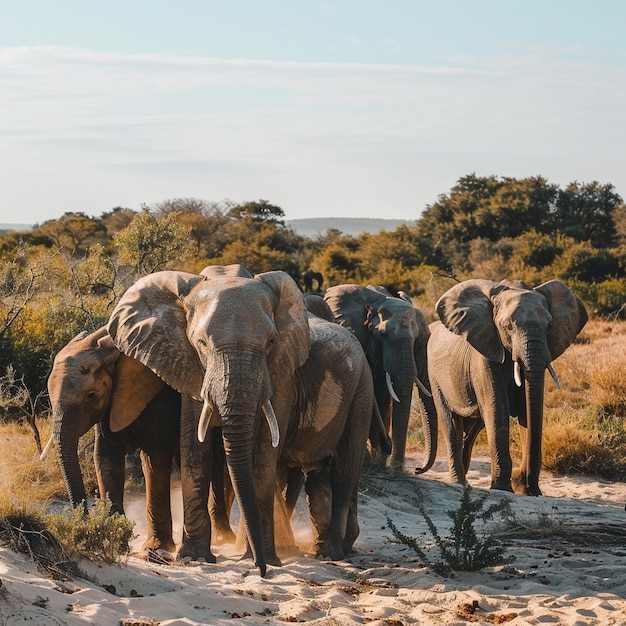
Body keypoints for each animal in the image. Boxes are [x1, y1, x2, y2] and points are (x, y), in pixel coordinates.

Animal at [45, 324, 183, 552]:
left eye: (91, 395)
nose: (83, 524)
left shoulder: (161, 395)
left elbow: (154, 457)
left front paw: (155, 549)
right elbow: (106, 456)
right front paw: (114, 540)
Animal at [322, 282, 434, 468]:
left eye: (416, 339)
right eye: (382, 335)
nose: (417, 469)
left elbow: (382, 392)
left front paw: (379, 461)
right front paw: (372, 460)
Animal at [426, 278, 588, 492]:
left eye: (550, 325)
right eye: (507, 326)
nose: (525, 483)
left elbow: (528, 411)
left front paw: (528, 491)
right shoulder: (485, 355)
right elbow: (498, 410)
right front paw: (503, 489)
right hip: (435, 376)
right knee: (451, 423)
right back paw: (460, 483)